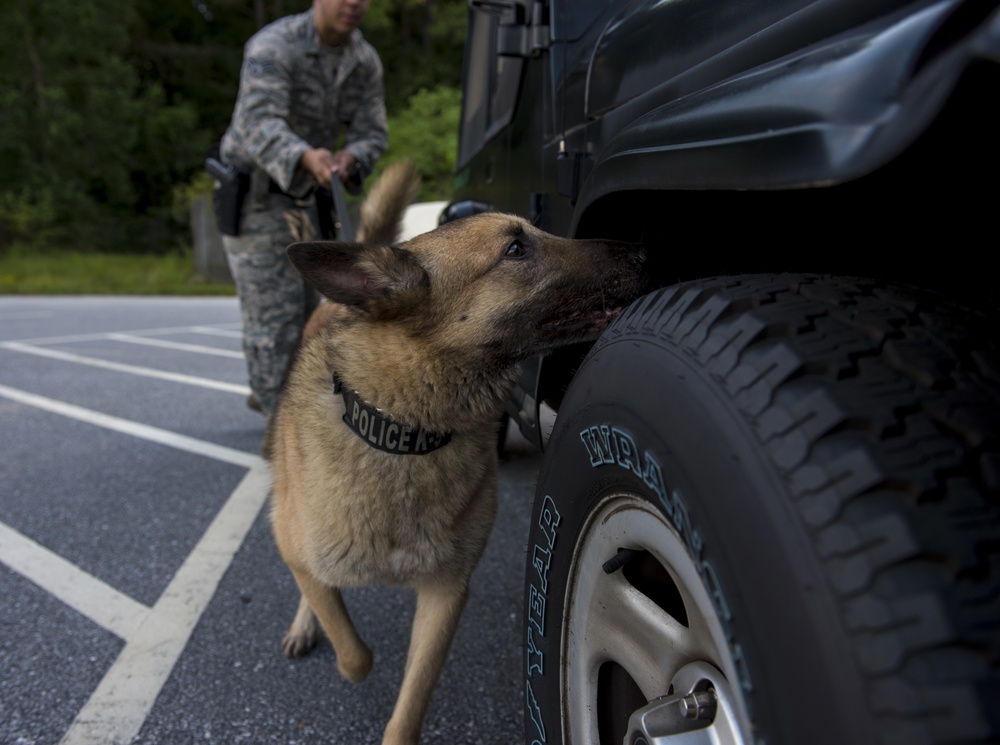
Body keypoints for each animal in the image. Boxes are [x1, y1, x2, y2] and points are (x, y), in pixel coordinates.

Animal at [270, 160, 644, 740]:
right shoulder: (303, 552)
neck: (407, 433)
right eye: (515, 249)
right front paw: (335, 641)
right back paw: (304, 623)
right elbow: (353, 653)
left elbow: (410, 698)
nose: (642, 252)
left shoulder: (445, 595)